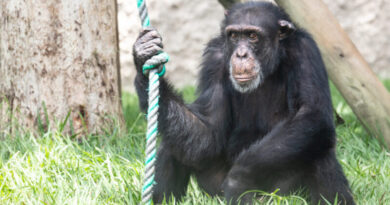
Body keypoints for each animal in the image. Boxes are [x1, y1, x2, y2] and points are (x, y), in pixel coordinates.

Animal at [133, 1, 354, 205]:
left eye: (252, 36)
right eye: (234, 36)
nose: (241, 54)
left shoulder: (305, 51)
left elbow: (311, 112)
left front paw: (238, 180)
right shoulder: (214, 59)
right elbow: (209, 131)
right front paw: (144, 57)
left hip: (284, 194)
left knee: (318, 146)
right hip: (214, 193)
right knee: (171, 144)